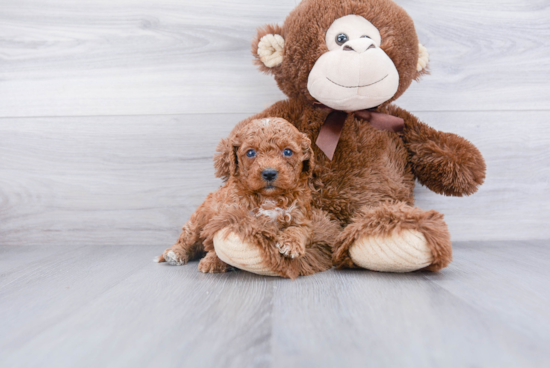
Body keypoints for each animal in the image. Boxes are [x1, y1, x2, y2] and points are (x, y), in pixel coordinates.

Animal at [156, 118, 340, 278]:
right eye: (251, 152)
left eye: (287, 151)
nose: (269, 173)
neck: (269, 198)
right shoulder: (228, 216)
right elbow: (216, 243)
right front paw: (213, 261)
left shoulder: (301, 217)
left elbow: (298, 229)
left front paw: (291, 244)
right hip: (199, 220)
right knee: (188, 239)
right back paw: (175, 253)